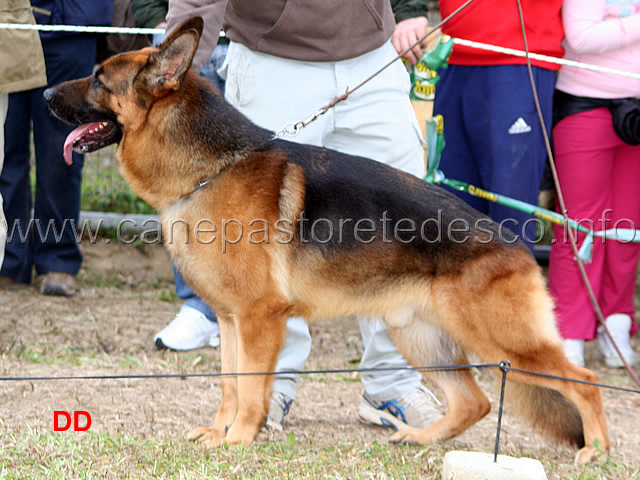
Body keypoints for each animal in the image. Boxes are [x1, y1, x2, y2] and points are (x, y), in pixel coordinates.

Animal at [43, 17, 604, 462]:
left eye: (99, 79)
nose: (45, 94)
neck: (211, 170)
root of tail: (517, 244)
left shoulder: (259, 318)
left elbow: (251, 387)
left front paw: (239, 440)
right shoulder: (229, 319)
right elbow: (228, 382)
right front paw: (221, 433)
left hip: (503, 340)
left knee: (584, 381)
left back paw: (596, 451)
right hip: (420, 336)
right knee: (476, 401)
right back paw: (422, 438)